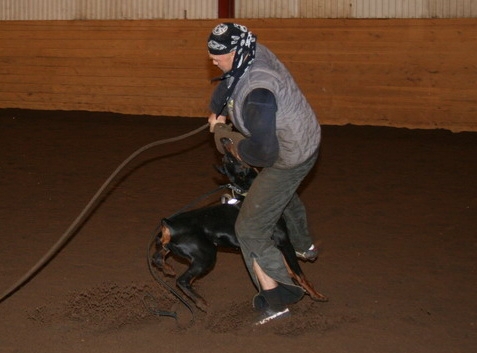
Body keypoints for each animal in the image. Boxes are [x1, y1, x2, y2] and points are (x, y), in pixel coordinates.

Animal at [152, 138, 328, 310]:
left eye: (227, 159)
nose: (224, 139)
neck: (248, 193)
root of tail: (169, 224)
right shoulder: (283, 240)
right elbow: (299, 273)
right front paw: (316, 295)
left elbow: (287, 269)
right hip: (205, 255)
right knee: (182, 280)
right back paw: (201, 303)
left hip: (171, 247)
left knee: (157, 258)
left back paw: (168, 270)